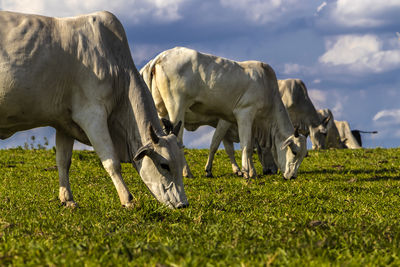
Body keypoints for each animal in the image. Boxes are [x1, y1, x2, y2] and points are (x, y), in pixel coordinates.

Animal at [0, 11, 188, 209]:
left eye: (180, 162)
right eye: (164, 165)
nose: (183, 204)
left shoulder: (64, 122)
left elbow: (63, 161)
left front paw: (68, 199)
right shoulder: (92, 115)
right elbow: (111, 161)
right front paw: (128, 199)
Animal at [141, 46, 306, 180]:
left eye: (304, 155)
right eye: (295, 151)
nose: (292, 176)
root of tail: (161, 56)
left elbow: (244, 146)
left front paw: (251, 171)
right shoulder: (244, 113)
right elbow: (244, 145)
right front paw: (245, 172)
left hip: (161, 110)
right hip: (176, 107)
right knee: (178, 139)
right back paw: (187, 172)